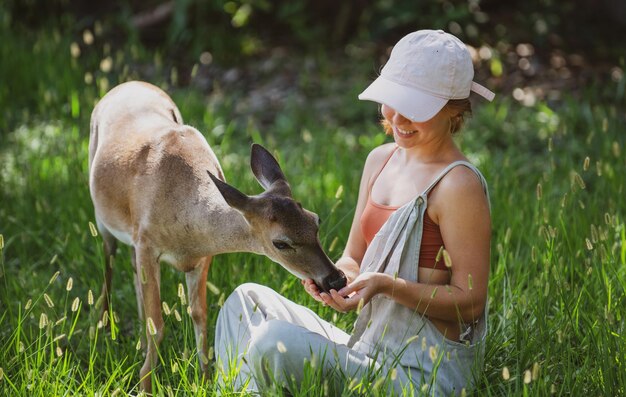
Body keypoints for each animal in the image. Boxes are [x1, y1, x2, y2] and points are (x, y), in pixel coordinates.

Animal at [86, 80, 346, 390]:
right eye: (280, 243)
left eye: (315, 221)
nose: (336, 279)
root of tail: (129, 83)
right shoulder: (147, 243)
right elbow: (157, 326)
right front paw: (145, 385)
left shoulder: (202, 256)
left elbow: (199, 315)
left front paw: (205, 379)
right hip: (103, 218)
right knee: (109, 263)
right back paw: (102, 328)